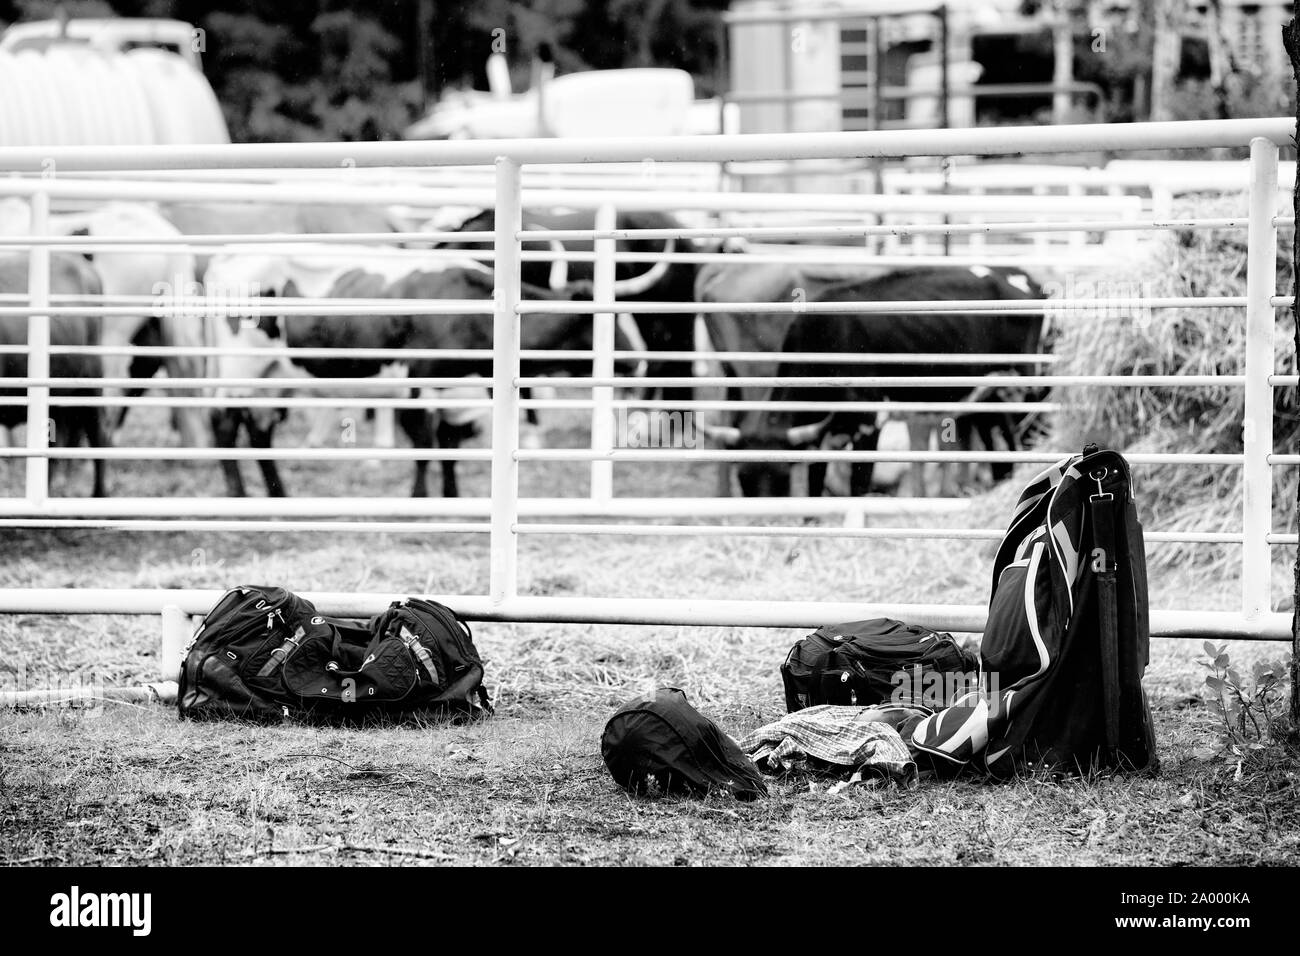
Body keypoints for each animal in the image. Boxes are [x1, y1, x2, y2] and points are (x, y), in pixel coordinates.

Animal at [698, 266, 1045, 498]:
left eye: (783, 480)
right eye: (743, 479)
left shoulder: (868, 421)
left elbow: (859, 487)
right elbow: (814, 488)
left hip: (1018, 384)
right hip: (986, 393)